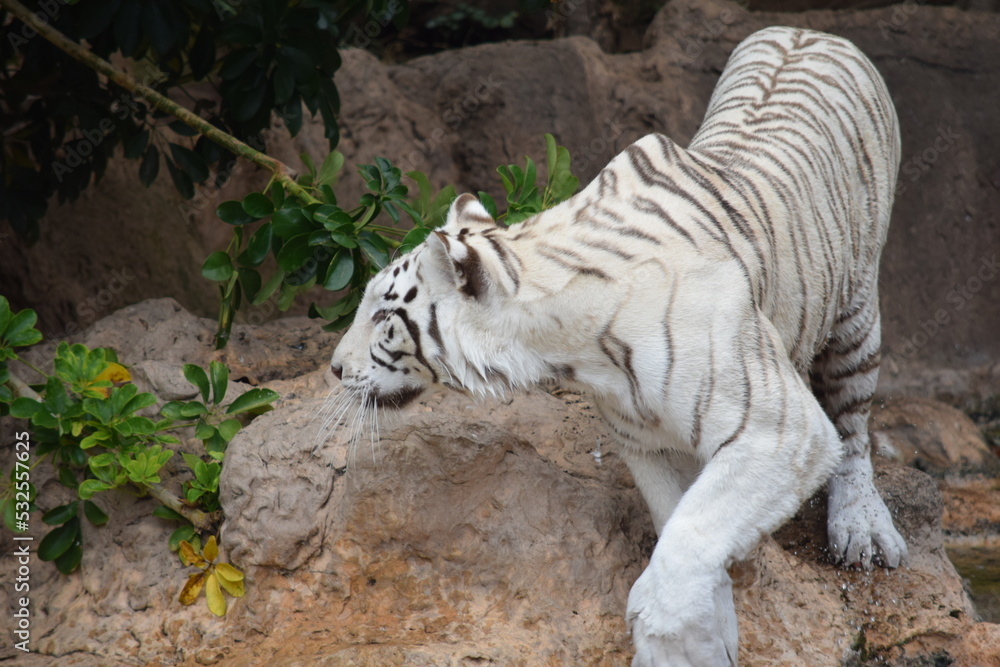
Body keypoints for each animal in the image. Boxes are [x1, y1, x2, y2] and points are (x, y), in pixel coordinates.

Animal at [328, 26, 906, 666]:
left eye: (383, 315)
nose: (333, 368)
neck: (569, 350)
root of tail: (810, 30)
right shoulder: (645, 440)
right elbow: (681, 520)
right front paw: (707, 636)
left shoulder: (778, 431)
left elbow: (691, 538)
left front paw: (667, 633)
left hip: (857, 312)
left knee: (853, 425)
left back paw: (861, 530)